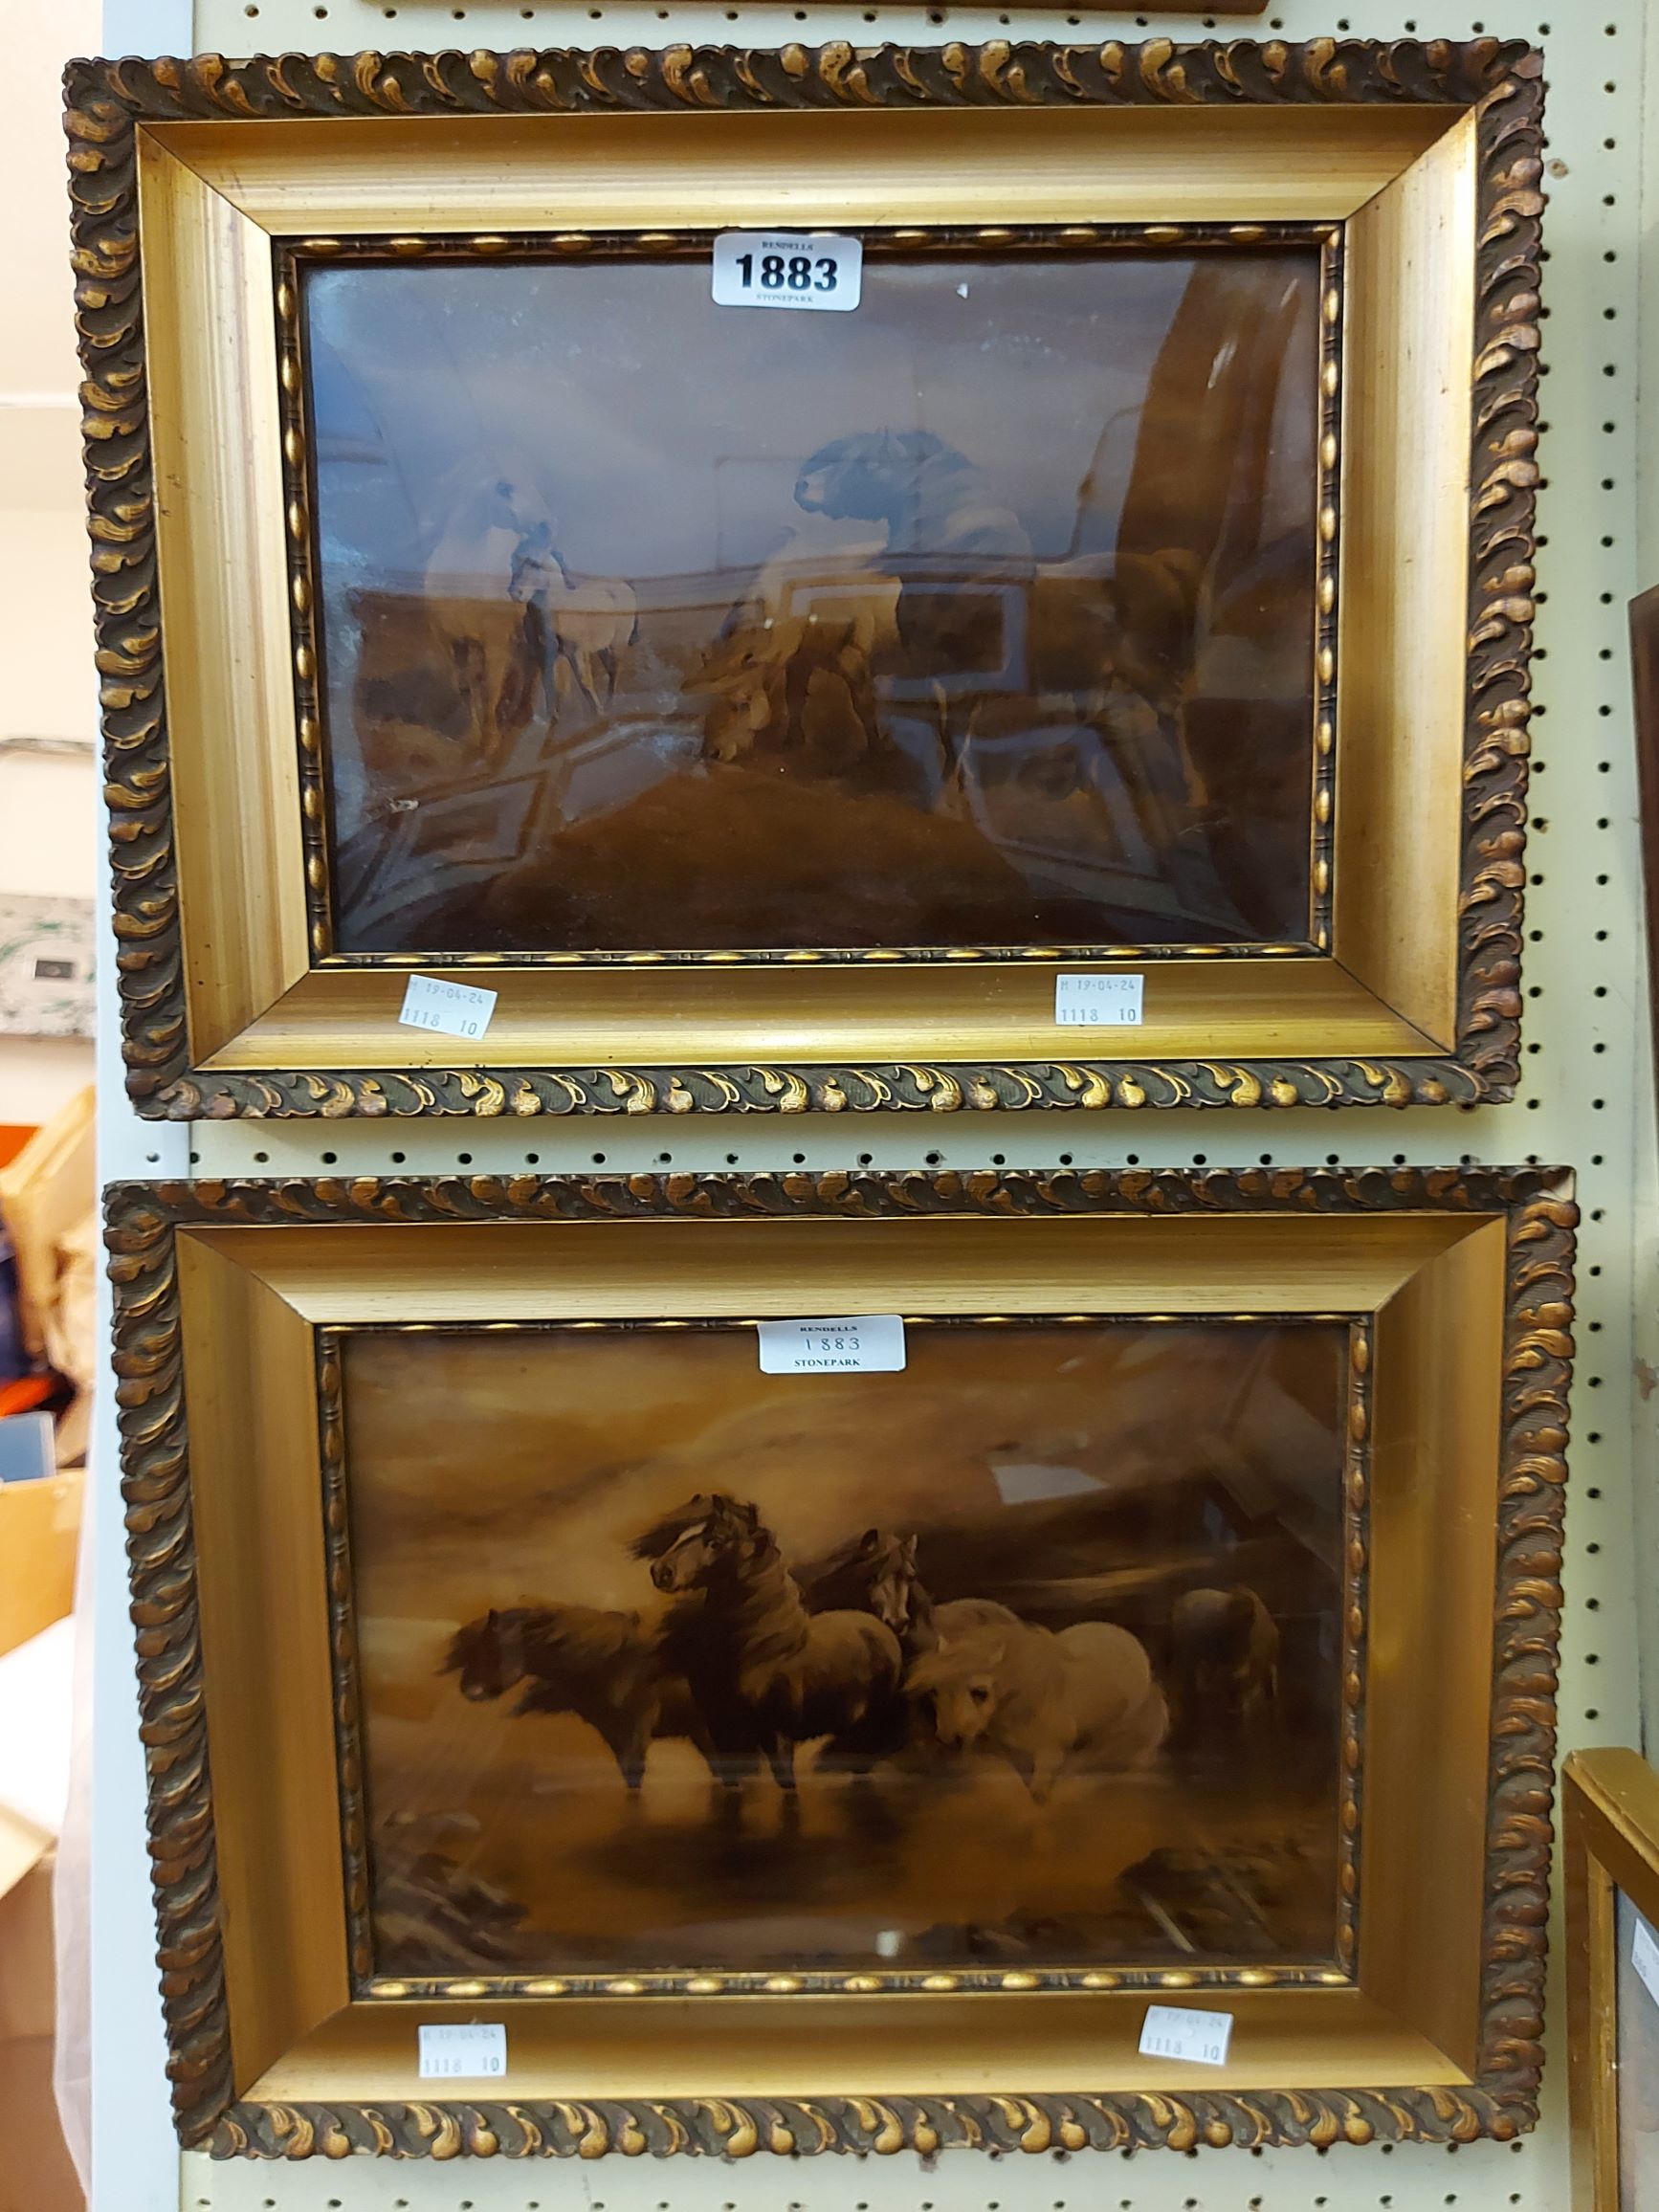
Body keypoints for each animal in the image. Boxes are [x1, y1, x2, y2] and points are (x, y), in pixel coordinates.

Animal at [632, 1494, 902, 1787]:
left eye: (716, 1541)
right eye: (681, 1534)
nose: (660, 1571)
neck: (761, 1649)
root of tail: (879, 1626)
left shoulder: (775, 1735)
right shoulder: (721, 1734)